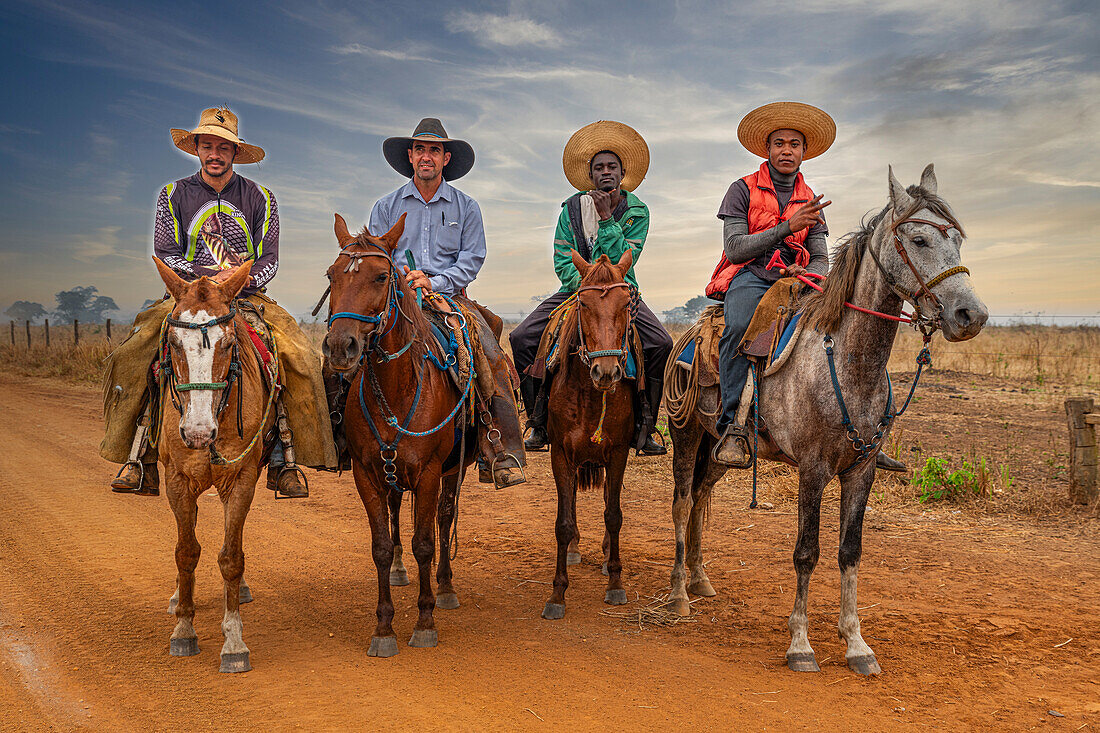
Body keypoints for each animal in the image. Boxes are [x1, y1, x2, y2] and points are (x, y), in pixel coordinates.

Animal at [152, 256, 275, 673]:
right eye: (174, 344)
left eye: (229, 343)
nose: (198, 432)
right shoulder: (176, 480)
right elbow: (185, 551)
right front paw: (184, 629)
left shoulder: (241, 479)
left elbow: (231, 557)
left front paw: (234, 641)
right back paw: (178, 598)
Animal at [321, 211, 470, 655]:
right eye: (331, 275)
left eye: (382, 276)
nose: (342, 347)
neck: (396, 389)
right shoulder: (366, 474)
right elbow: (381, 547)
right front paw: (384, 627)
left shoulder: (429, 473)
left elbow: (425, 542)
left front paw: (424, 621)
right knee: (395, 511)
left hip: (451, 471)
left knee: (444, 519)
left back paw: (445, 587)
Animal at [541, 246, 638, 616]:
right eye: (583, 304)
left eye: (626, 304)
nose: (606, 372)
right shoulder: (560, 453)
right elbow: (563, 521)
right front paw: (557, 593)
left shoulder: (619, 452)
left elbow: (614, 515)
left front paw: (615, 582)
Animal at [664, 165, 994, 673]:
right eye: (918, 239)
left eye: (957, 239)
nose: (970, 315)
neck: (847, 360)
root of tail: (691, 334)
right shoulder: (814, 470)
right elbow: (807, 552)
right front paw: (800, 644)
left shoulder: (861, 470)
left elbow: (849, 552)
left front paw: (856, 643)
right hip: (684, 436)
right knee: (682, 504)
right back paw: (680, 593)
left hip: (719, 450)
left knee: (701, 497)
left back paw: (700, 579)